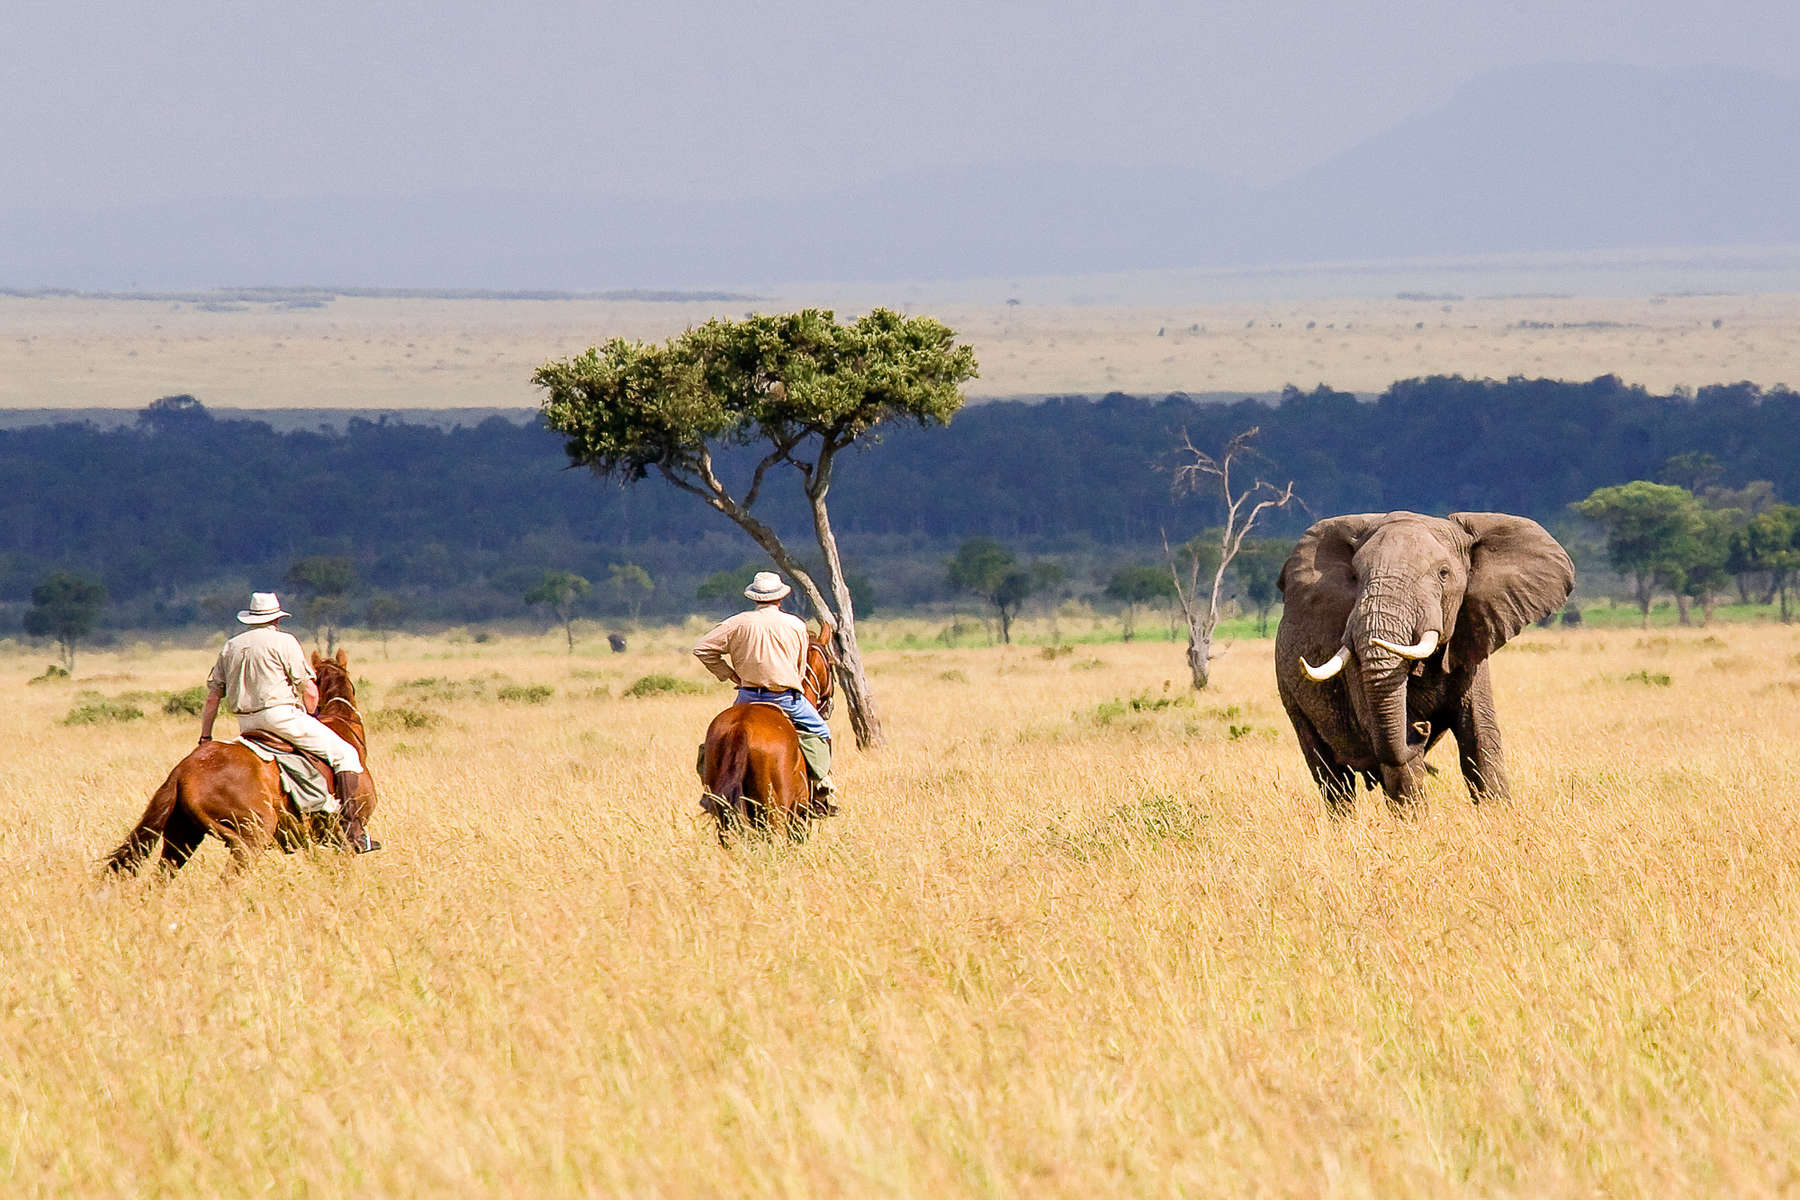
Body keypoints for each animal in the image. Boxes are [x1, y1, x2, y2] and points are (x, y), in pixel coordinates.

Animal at [702, 618, 835, 845]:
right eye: (832, 663)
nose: (828, 708)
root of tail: (742, 727)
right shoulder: (800, 814)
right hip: (775, 813)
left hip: (724, 811)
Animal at [1267, 510, 1576, 813]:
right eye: (1355, 576)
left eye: (1443, 574)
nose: (1422, 728)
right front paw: (1415, 823)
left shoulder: (1470, 637)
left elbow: (1479, 734)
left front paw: (1497, 815)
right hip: (1291, 696)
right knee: (1332, 777)